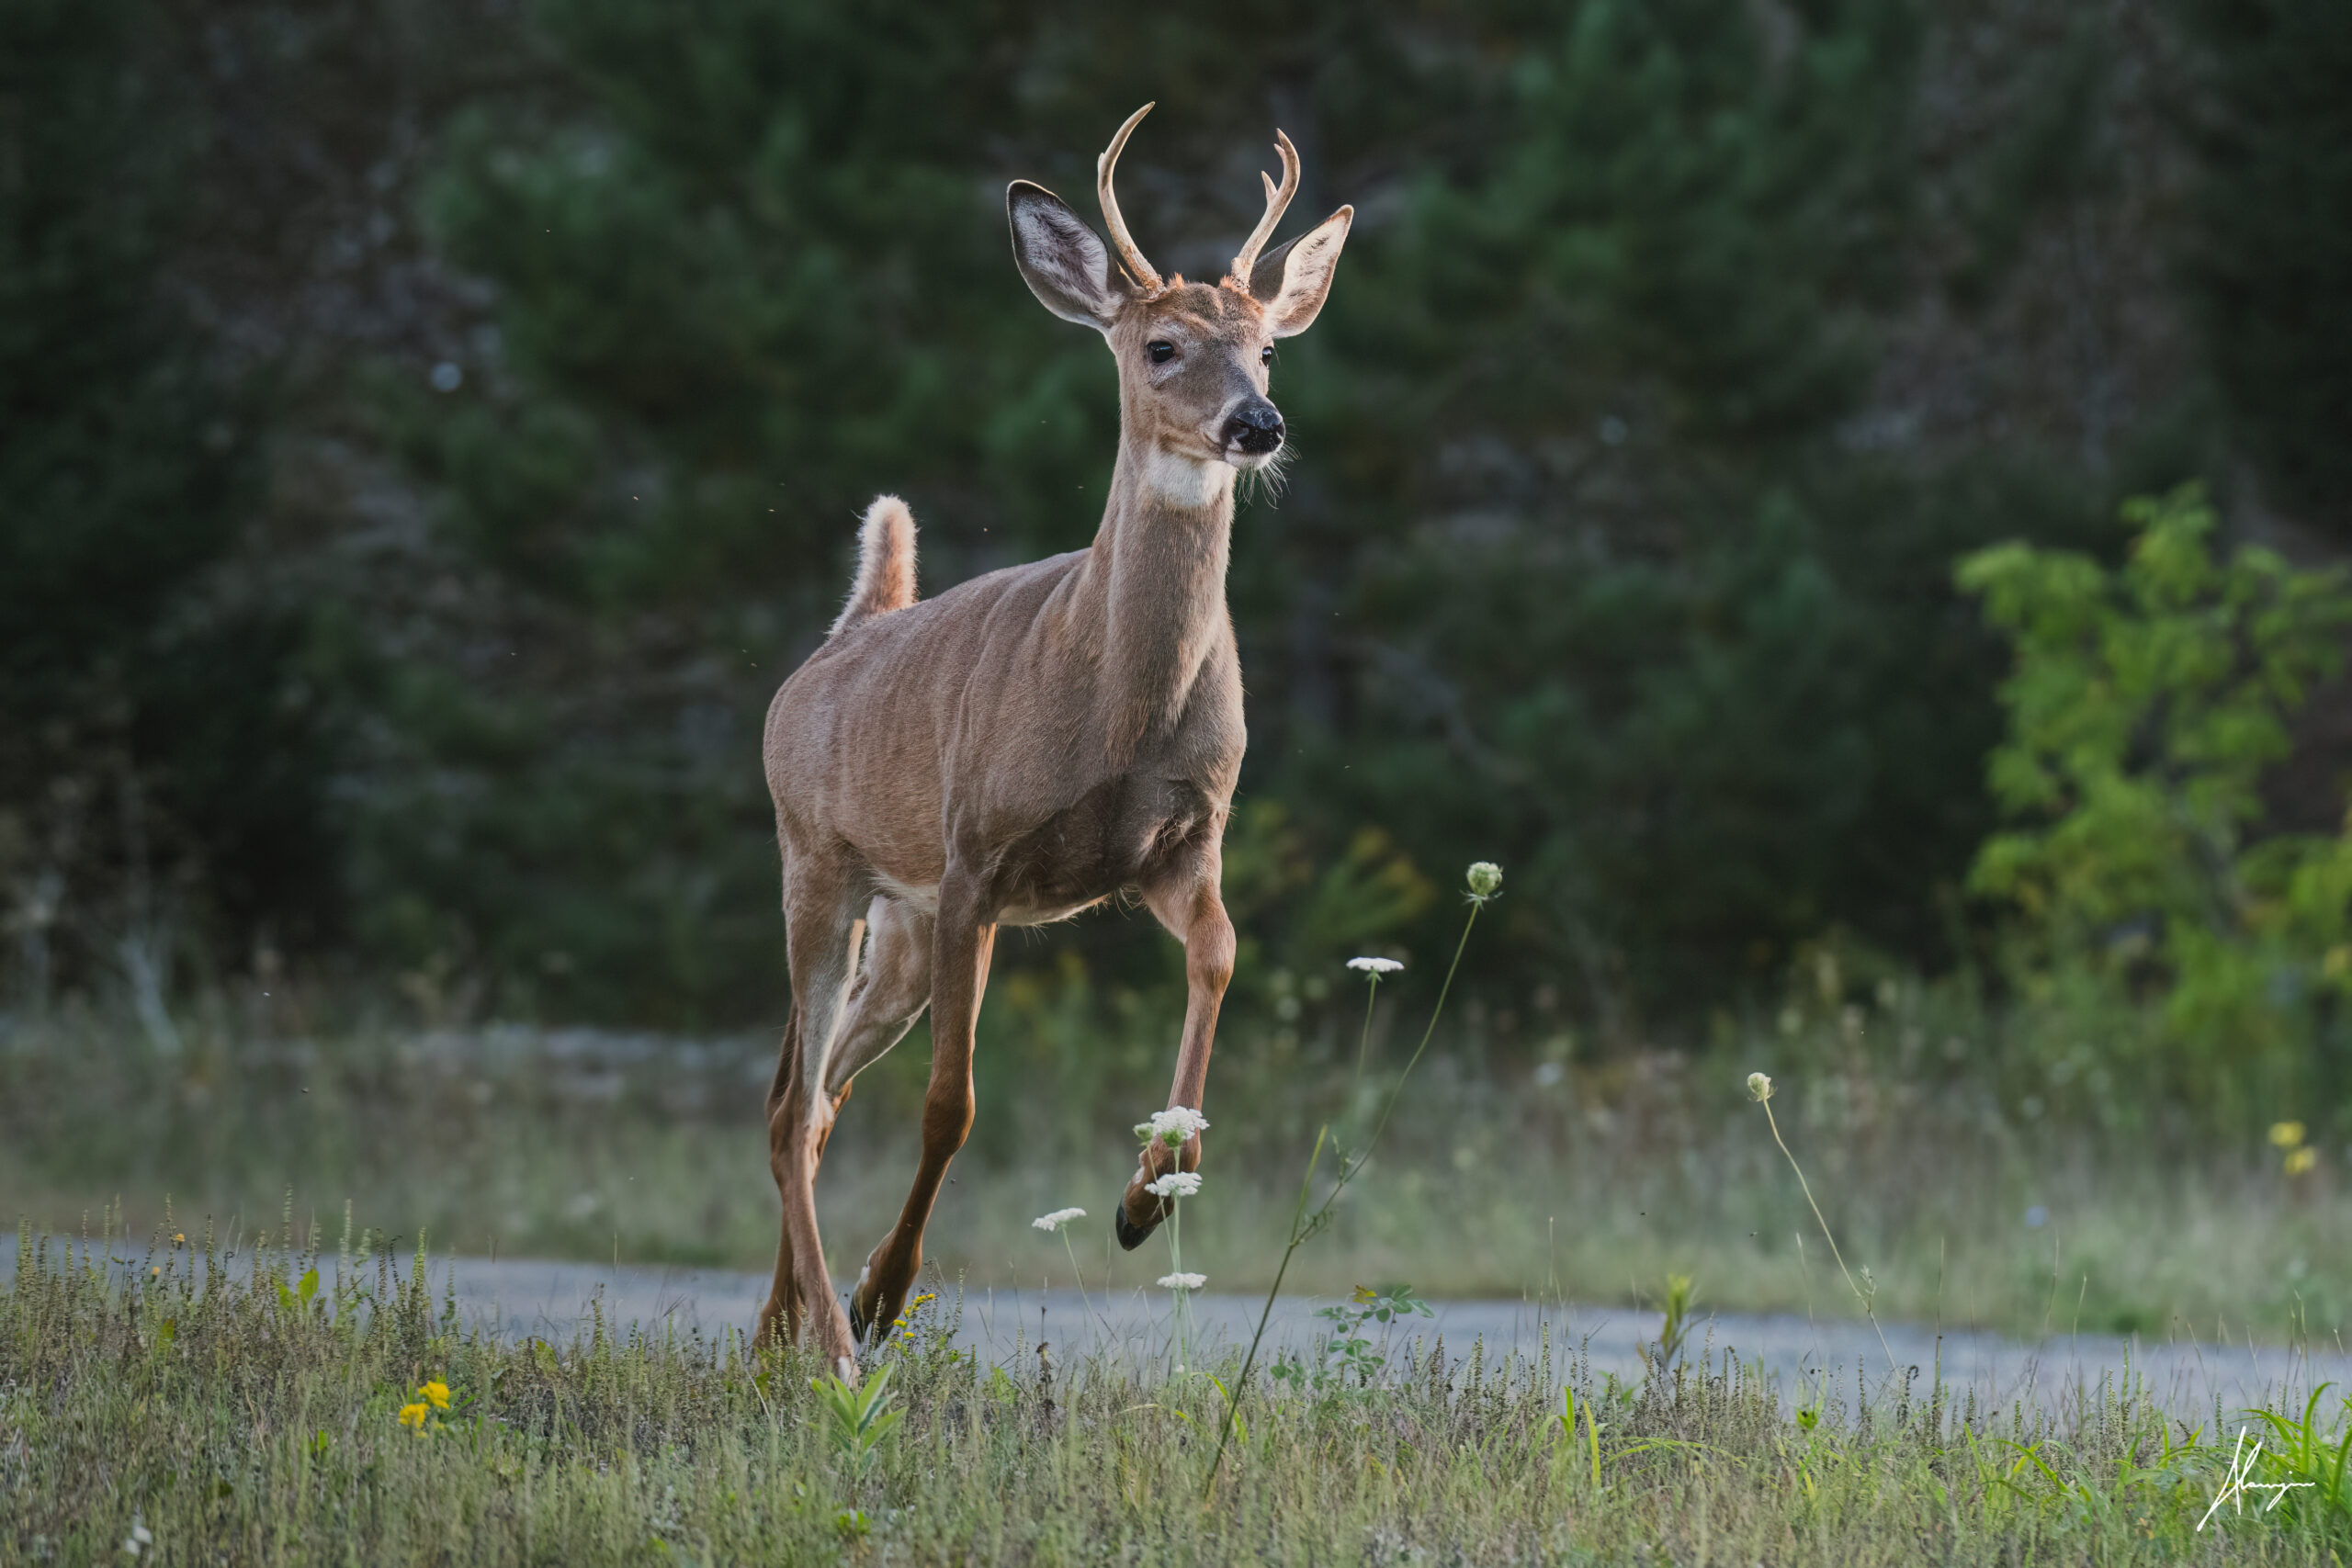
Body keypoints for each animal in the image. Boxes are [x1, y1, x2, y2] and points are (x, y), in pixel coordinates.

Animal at [752, 104, 1345, 1363]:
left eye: (1268, 349)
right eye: (1161, 346)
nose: (1257, 424)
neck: (1117, 714)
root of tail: (845, 634)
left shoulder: (1180, 846)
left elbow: (1220, 961)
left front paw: (1145, 1196)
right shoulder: (978, 860)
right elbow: (951, 1106)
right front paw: (885, 1291)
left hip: (898, 924)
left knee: (815, 1101)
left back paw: (778, 1329)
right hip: (817, 863)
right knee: (788, 1104)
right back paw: (831, 1336)